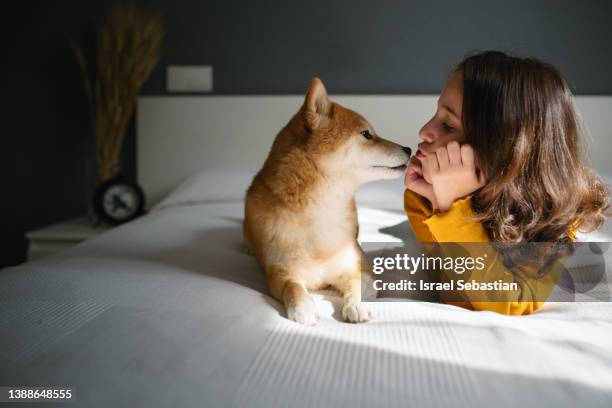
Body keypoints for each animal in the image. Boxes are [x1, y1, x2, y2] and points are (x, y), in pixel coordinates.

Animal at [244, 77, 412, 326]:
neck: (322, 210)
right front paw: (302, 308)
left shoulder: (358, 267)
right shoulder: (280, 273)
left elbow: (355, 286)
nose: (409, 149)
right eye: (366, 134)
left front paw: (356, 307)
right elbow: (293, 287)